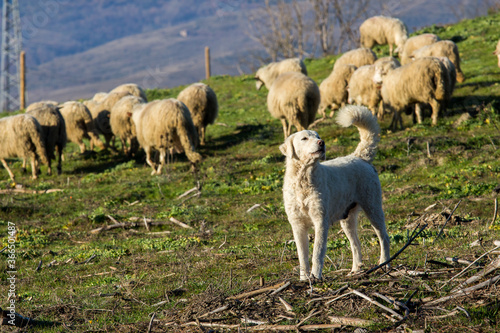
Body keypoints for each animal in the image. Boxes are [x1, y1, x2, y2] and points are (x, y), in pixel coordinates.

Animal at [280, 105, 388, 278]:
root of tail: (359, 156)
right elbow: (302, 256)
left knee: (384, 237)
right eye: (304, 138)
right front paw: (304, 279)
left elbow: (317, 253)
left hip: (373, 208)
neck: (304, 180)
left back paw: (385, 264)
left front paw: (316, 276)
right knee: (356, 244)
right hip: (348, 219)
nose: (321, 142)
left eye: (317, 136)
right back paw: (355, 270)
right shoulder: (297, 224)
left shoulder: (320, 221)